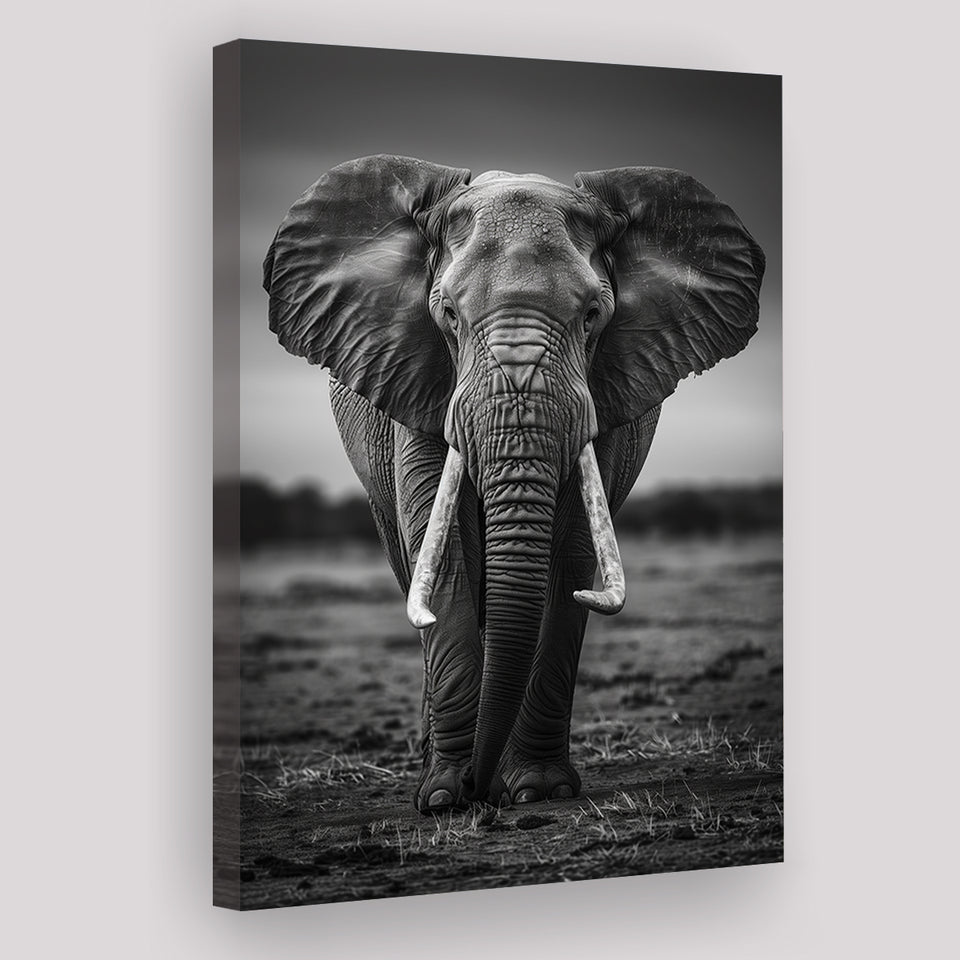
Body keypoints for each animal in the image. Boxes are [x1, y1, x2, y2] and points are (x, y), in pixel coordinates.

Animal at [263, 155, 764, 813]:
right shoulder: (418, 381)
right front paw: (445, 797)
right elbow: (443, 553)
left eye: (592, 316)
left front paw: (534, 791)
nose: (480, 791)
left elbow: (571, 555)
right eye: (448, 314)